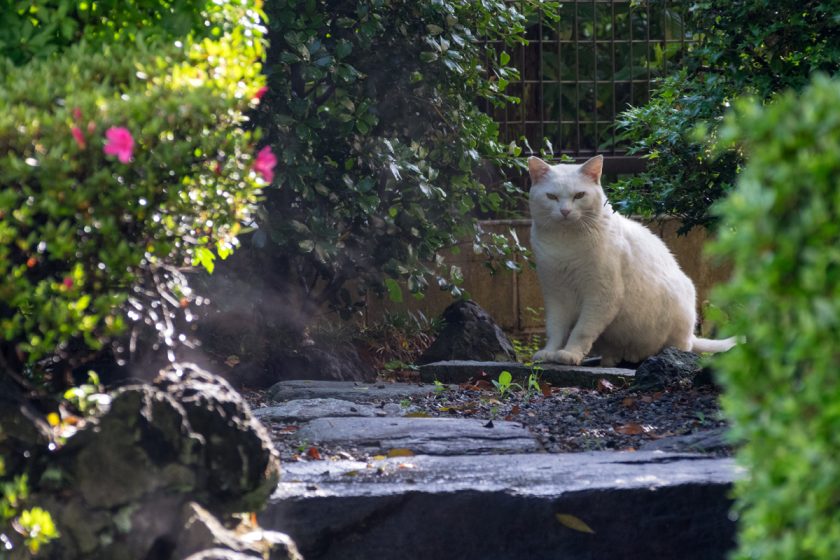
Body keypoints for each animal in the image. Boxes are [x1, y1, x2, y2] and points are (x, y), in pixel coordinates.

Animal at [532, 155, 736, 366]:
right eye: (551, 197)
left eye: (579, 195)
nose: (564, 211)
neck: (565, 243)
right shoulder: (556, 294)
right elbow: (555, 330)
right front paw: (549, 353)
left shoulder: (601, 294)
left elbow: (582, 330)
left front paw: (570, 353)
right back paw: (611, 359)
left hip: (679, 309)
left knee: (680, 347)